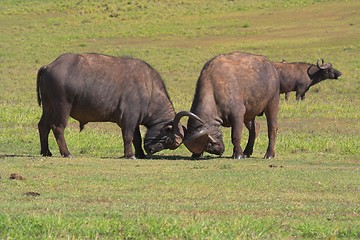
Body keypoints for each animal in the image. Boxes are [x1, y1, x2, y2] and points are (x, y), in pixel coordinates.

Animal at [37, 52, 198, 158]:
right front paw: (130, 155)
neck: (149, 90)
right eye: (169, 139)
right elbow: (128, 136)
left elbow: (137, 138)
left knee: (43, 126)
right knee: (58, 127)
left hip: (48, 107)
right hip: (62, 107)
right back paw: (66, 153)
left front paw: (139, 154)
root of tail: (48, 66)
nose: (151, 150)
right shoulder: (129, 118)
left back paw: (46, 152)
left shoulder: (135, 121)